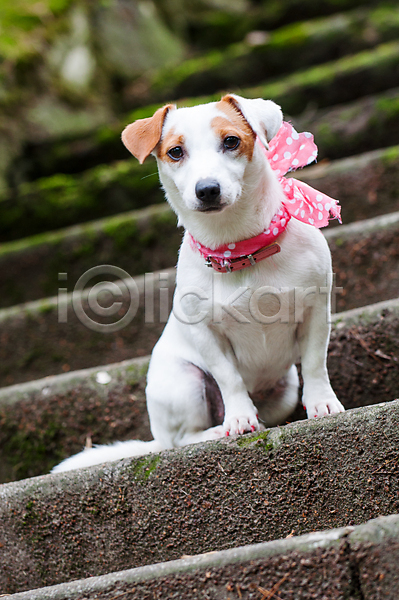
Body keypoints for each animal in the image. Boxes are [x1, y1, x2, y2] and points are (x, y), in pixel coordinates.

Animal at [53, 94, 346, 472]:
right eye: (175, 152)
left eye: (232, 141)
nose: (207, 189)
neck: (240, 249)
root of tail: (156, 440)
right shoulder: (207, 333)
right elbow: (230, 378)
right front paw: (238, 419)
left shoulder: (316, 312)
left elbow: (314, 362)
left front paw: (322, 403)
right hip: (184, 382)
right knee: (181, 438)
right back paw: (216, 430)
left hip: (283, 390)